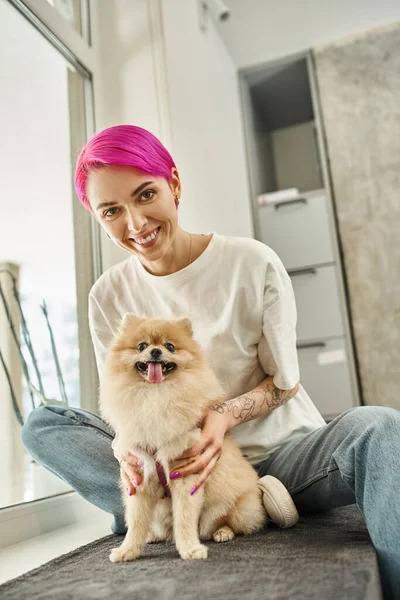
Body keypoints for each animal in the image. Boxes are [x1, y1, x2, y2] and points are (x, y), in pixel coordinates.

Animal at [100, 314, 268, 564]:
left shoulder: (185, 474)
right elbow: (136, 521)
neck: (155, 396)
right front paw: (127, 550)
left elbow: (185, 518)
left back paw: (223, 532)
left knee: (231, 522)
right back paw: (154, 537)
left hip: (238, 507)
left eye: (170, 346)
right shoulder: (139, 477)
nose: (155, 351)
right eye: (141, 346)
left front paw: (190, 549)